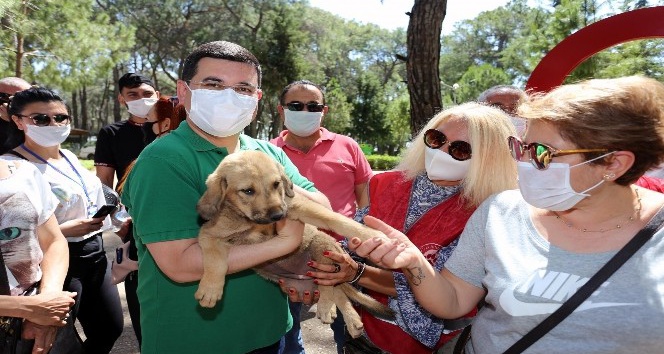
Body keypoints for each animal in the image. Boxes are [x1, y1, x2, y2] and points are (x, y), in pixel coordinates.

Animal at [193, 149, 390, 338]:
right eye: (248, 191)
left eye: (276, 184)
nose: (279, 215)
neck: (252, 222)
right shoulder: (209, 234)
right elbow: (215, 261)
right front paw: (210, 289)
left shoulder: (298, 206)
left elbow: (337, 220)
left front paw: (374, 234)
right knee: (337, 292)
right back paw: (348, 318)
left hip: (321, 247)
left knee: (329, 285)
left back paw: (329, 308)